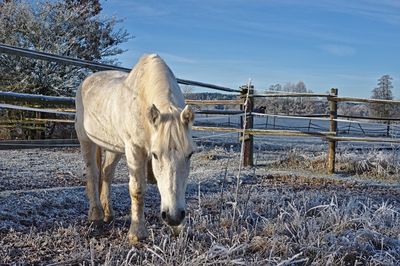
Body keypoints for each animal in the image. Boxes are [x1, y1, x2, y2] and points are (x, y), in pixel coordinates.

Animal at [75, 54, 195, 243]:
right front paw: (137, 233)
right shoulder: (134, 149)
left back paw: (108, 213)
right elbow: (137, 189)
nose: (174, 216)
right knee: (93, 174)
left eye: (190, 154)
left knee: (107, 173)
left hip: (114, 146)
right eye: (155, 155)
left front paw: (178, 229)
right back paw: (96, 215)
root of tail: (86, 82)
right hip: (86, 140)